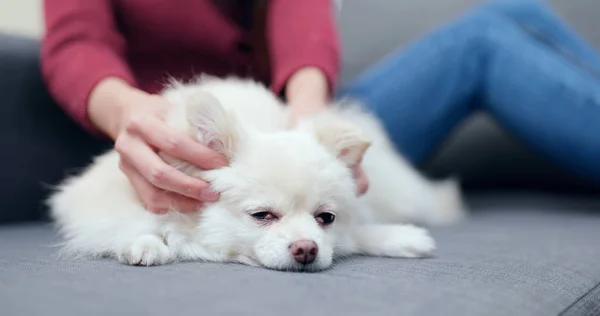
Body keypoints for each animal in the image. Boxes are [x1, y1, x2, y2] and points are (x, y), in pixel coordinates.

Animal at [48, 74, 468, 272]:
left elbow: (358, 231)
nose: (306, 248)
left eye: (326, 218)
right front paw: (144, 243)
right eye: (262, 216)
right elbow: (130, 223)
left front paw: (400, 238)